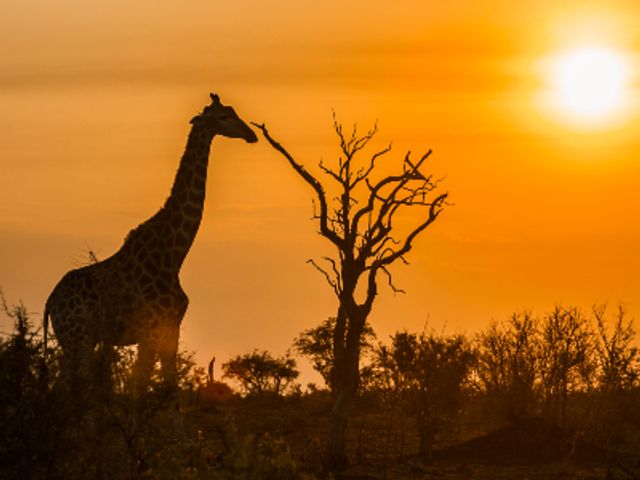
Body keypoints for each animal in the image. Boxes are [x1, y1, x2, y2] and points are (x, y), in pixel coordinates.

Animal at [42, 93, 258, 394]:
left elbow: (168, 386)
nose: (251, 135)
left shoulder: (171, 328)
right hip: (77, 338)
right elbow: (141, 387)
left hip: (77, 340)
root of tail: (51, 301)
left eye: (234, 111)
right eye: (223, 116)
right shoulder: (149, 329)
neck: (174, 253)